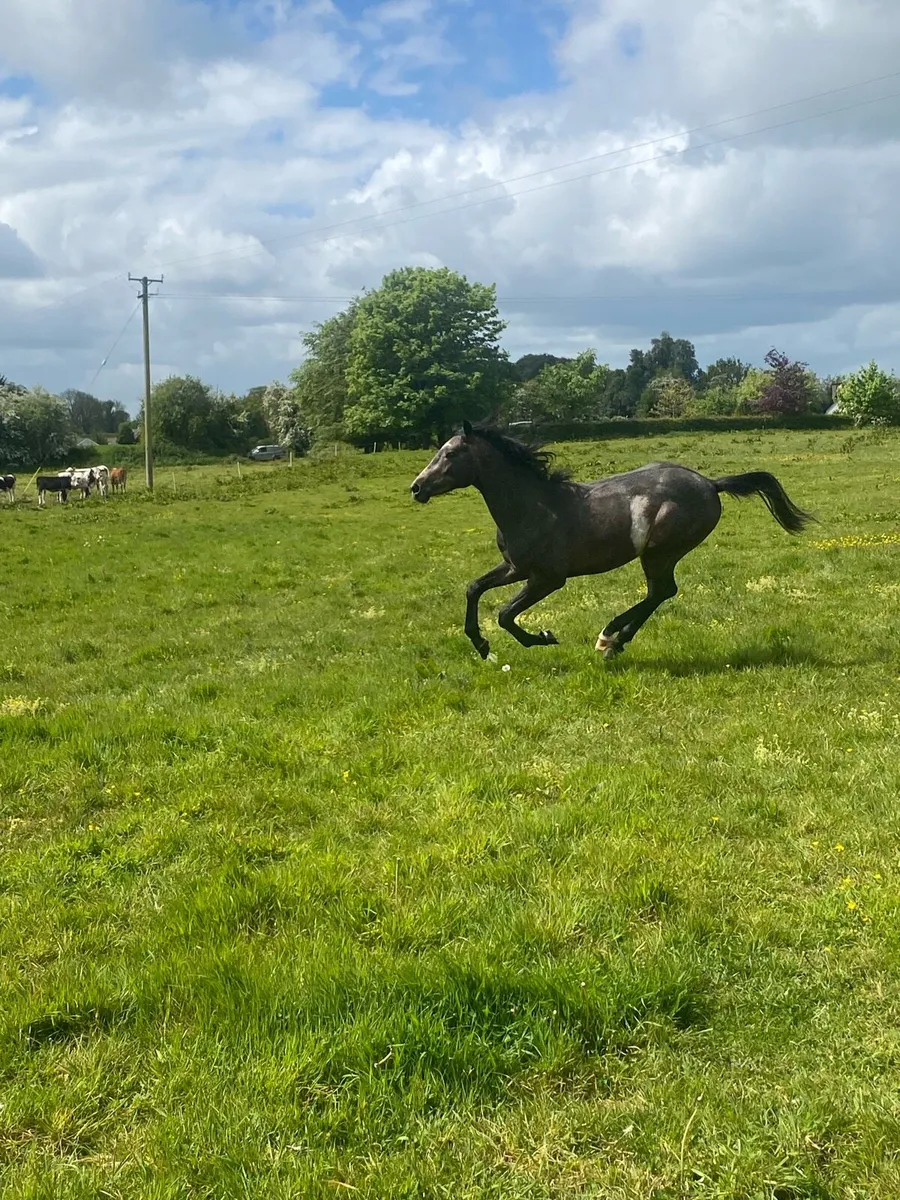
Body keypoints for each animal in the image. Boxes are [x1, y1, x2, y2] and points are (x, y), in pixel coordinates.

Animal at [409, 421, 815, 660]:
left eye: (450, 453)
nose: (416, 487)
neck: (530, 506)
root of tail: (711, 484)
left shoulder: (548, 578)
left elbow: (506, 614)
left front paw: (543, 637)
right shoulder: (515, 567)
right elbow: (474, 588)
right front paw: (482, 646)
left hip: (661, 551)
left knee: (661, 591)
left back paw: (609, 640)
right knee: (660, 593)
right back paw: (613, 641)